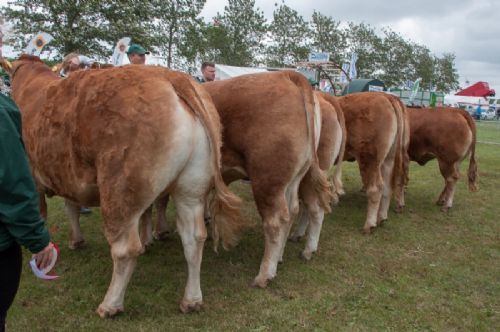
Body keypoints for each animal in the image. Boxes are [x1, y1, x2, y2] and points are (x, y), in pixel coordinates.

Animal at [1, 55, 244, 318]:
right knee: (194, 238)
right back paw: (191, 300)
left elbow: (41, 214)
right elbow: (71, 208)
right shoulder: (67, 176)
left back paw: (110, 304)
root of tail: (171, 76)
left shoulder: (32, 177)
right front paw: (77, 240)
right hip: (191, 189)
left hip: (119, 189)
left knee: (126, 249)